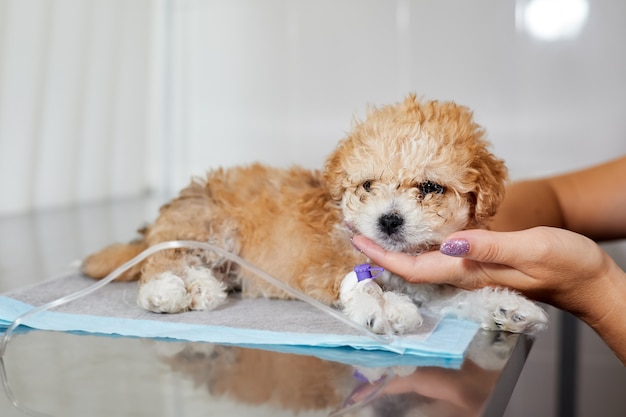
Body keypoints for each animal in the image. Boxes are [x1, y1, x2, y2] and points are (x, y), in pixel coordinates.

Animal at [83, 94, 544, 334]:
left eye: (430, 188)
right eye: (367, 186)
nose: (389, 220)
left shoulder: (431, 283)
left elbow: (462, 296)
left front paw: (507, 308)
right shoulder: (323, 266)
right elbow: (360, 282)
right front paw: (383, 307)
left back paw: (202, 288)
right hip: (211, 227)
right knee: (164, 261)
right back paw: (167, 291)